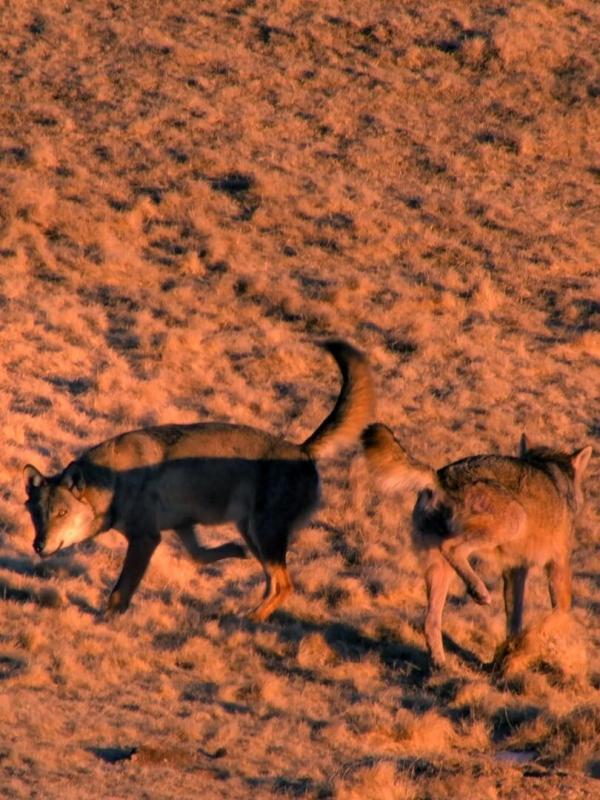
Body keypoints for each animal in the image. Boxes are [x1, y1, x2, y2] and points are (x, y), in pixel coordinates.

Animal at [24, 341, 374, 621]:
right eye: (37, 515)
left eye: (61, 513)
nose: (39, 545)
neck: (112, 484)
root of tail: (302, 449)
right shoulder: (181, 526)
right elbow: (199, 556)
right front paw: (233, 553)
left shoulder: (146, 538)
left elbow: (120, 591)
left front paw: (107, 620)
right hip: (252, 532)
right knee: (272, 581)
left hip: (264, 533)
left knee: (285, 585)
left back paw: (250, 620)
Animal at [361, 424, 592, 667]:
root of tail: (439, 477)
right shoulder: (558, 564)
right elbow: (560, 613)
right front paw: (528, 643)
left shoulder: (515, 569)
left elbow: (514, 618)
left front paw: (510, 653)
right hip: (513, 520)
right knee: (453, 548)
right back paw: (479, 592)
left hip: (439, 571)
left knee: (430, 621)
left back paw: (440, 664)